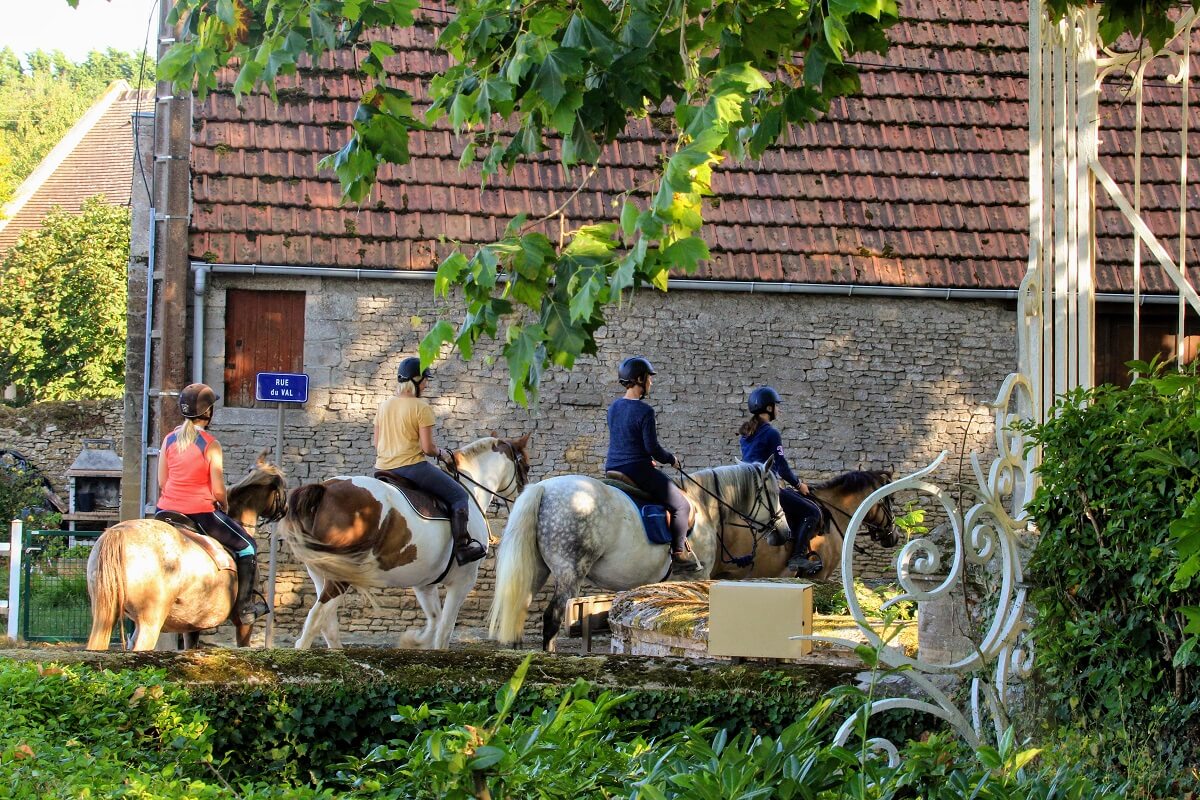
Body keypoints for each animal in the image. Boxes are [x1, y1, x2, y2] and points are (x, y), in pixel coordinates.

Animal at [86, 453, 288, 652]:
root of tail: (119, 532)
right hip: (150, 622)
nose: (284, 511)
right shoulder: (243, 624)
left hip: (105, 616)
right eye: (283, 484)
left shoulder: (192, 625)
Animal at [285, 434, 530, 652]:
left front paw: (413, 641)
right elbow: (444, 631)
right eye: (526, 467)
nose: (522, 497)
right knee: (316, 619)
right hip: (340, 576)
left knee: (327, 625)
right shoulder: (463, 582)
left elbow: (434, 622)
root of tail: (325, 490)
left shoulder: (425, 584)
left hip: (321, 573)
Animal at [487, 460, 787, 652]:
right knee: (552, 618)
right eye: (774, 492)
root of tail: (545, 488)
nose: (783, 532)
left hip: (539, 570)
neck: (703, 506)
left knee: (520, 609)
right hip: (570, 572)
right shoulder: (697, 575)